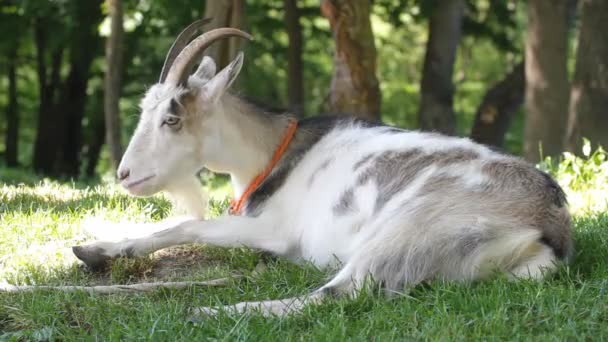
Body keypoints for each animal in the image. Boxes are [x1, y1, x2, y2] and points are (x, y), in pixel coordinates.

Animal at [71, 20, 568, 318]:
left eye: (172, 119)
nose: (125, 175)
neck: (276, 153)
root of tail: (550, 229)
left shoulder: (273, 230)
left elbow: (182, 228)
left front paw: (100, 251)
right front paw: (94, 249)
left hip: (410, 230)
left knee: (333, 295)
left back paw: (210, 311)